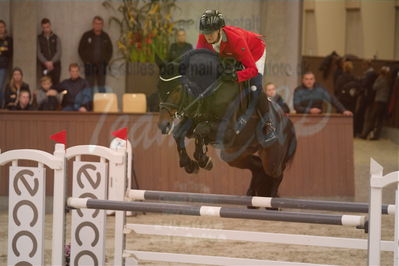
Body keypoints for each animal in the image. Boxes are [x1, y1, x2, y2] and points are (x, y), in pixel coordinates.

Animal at [156, 48, 296, 196]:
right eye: (158, 87)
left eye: (177, 89)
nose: (163, 125)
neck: (210, 90)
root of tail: (288, 121)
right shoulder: (193, 119)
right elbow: (179, 133)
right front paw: (190, 164)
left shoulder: (229, 131)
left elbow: (200, 129)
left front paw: (203, 160)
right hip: (234, 155)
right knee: (258, 167)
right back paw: (252, 193)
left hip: (272, 159)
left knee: (277, 173)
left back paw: (272, 195)